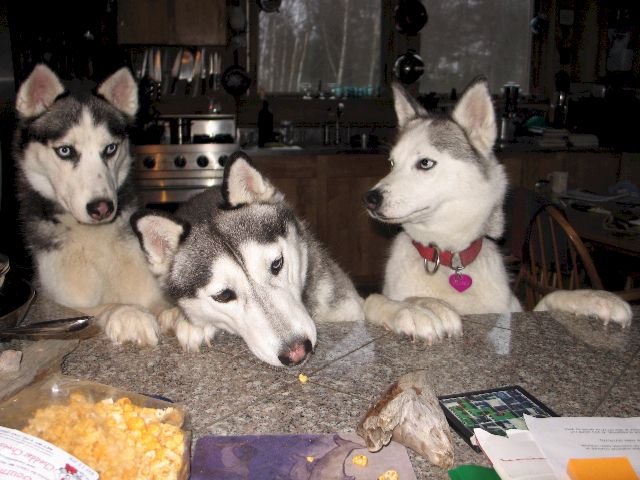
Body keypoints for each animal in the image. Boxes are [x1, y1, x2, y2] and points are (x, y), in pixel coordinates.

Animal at [362, 79, 632, 342]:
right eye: (392, 164)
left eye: (425, 163)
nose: (370, 199)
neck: (449, 259)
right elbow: (387, 300)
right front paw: (421, 308)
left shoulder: (512, 309)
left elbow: (549, 298)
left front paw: (595, 298)